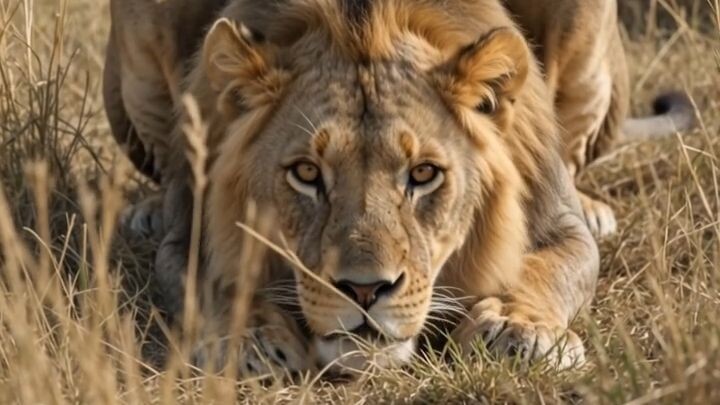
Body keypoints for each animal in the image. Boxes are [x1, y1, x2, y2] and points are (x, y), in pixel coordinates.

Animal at [103, 0, 691, 374]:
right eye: (307, 174)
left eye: (424, 174)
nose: (365, 291)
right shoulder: (191, 235)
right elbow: (216, 285)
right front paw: (252, 339)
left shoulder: (558, 226)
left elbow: (548, 271)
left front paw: (516, 329)